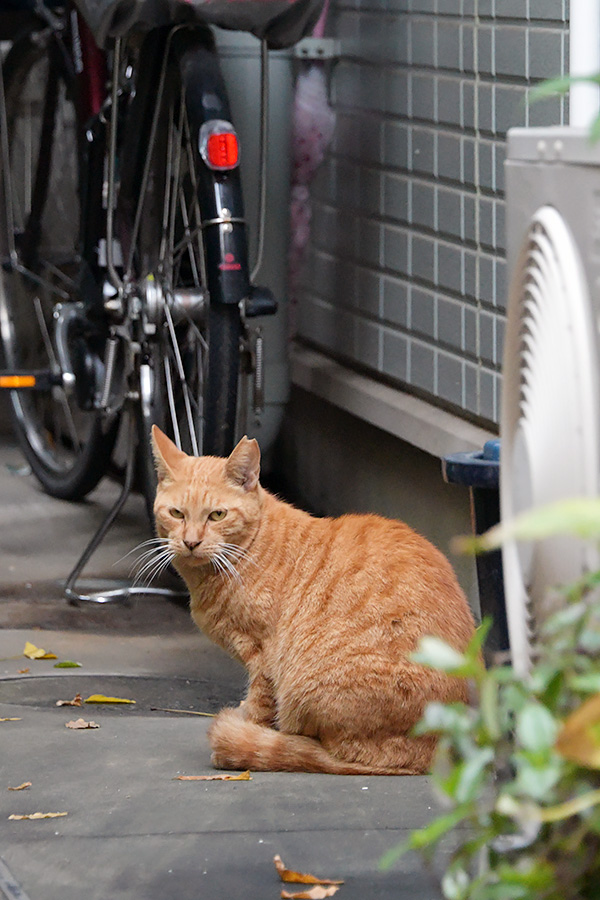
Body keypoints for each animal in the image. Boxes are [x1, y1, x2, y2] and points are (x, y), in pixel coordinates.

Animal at [152, 428, 476, 772]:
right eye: (176, 514)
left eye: (217, 515)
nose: (191, 542)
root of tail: (441, 749)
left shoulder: (263, 657)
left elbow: (259, 706)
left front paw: (247, 726)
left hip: (306, 687)